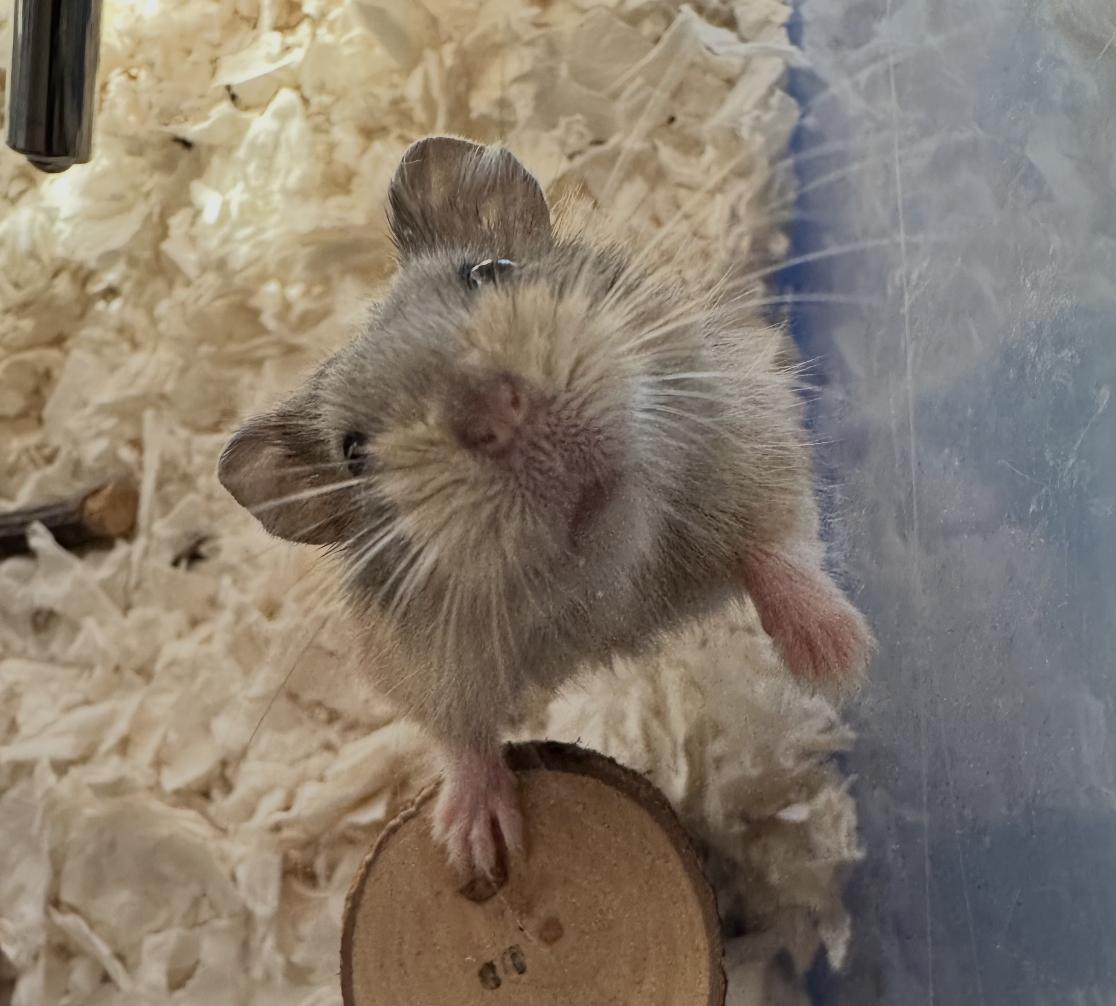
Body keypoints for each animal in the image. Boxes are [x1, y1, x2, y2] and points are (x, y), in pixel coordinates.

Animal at [218, 136, 874, 887]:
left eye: (490, 271)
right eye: (353, 452)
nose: (494, 415)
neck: (605, 578)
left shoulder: (756, 435)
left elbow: (778, 544)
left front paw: (838, 663)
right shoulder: (417, 666)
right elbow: (460, 735)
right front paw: (475, 847)